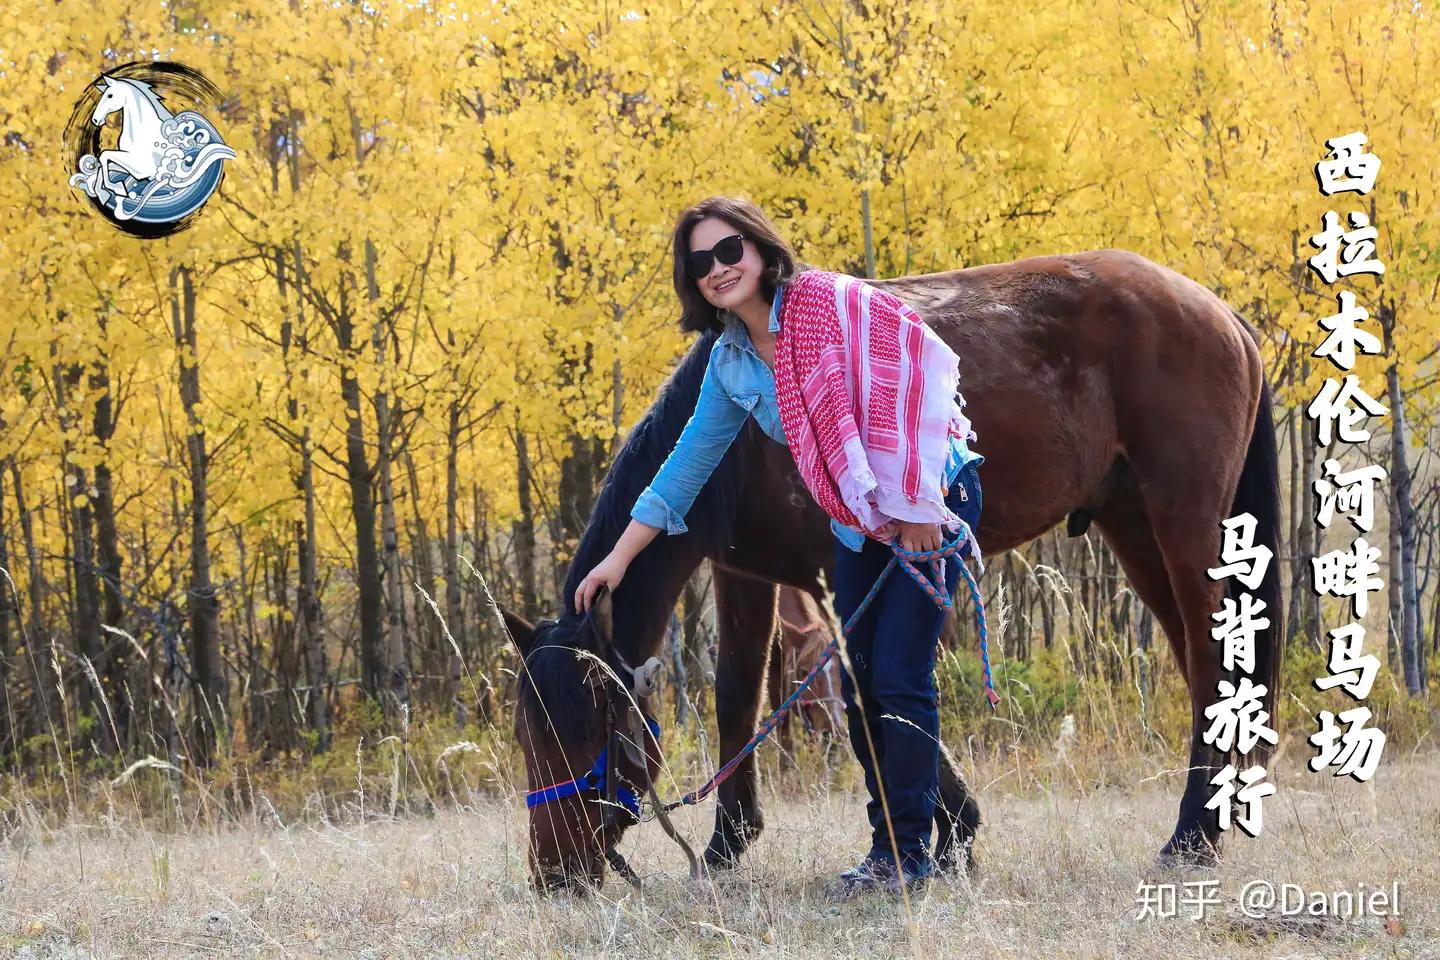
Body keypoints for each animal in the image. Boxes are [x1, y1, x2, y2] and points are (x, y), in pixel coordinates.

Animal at [506, 250, 1284, 892]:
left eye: (590, 734)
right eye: (526, 736)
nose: (554, 876)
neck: (746, 450)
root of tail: (1223, 314)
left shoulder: (843, 576)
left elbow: (869, 695)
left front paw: (949, 834)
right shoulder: (745, 578)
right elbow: (738, 695)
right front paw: (730, 843)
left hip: (1182, 523)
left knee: (1210, 658)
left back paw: (1190, 838)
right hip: (1134, 526)